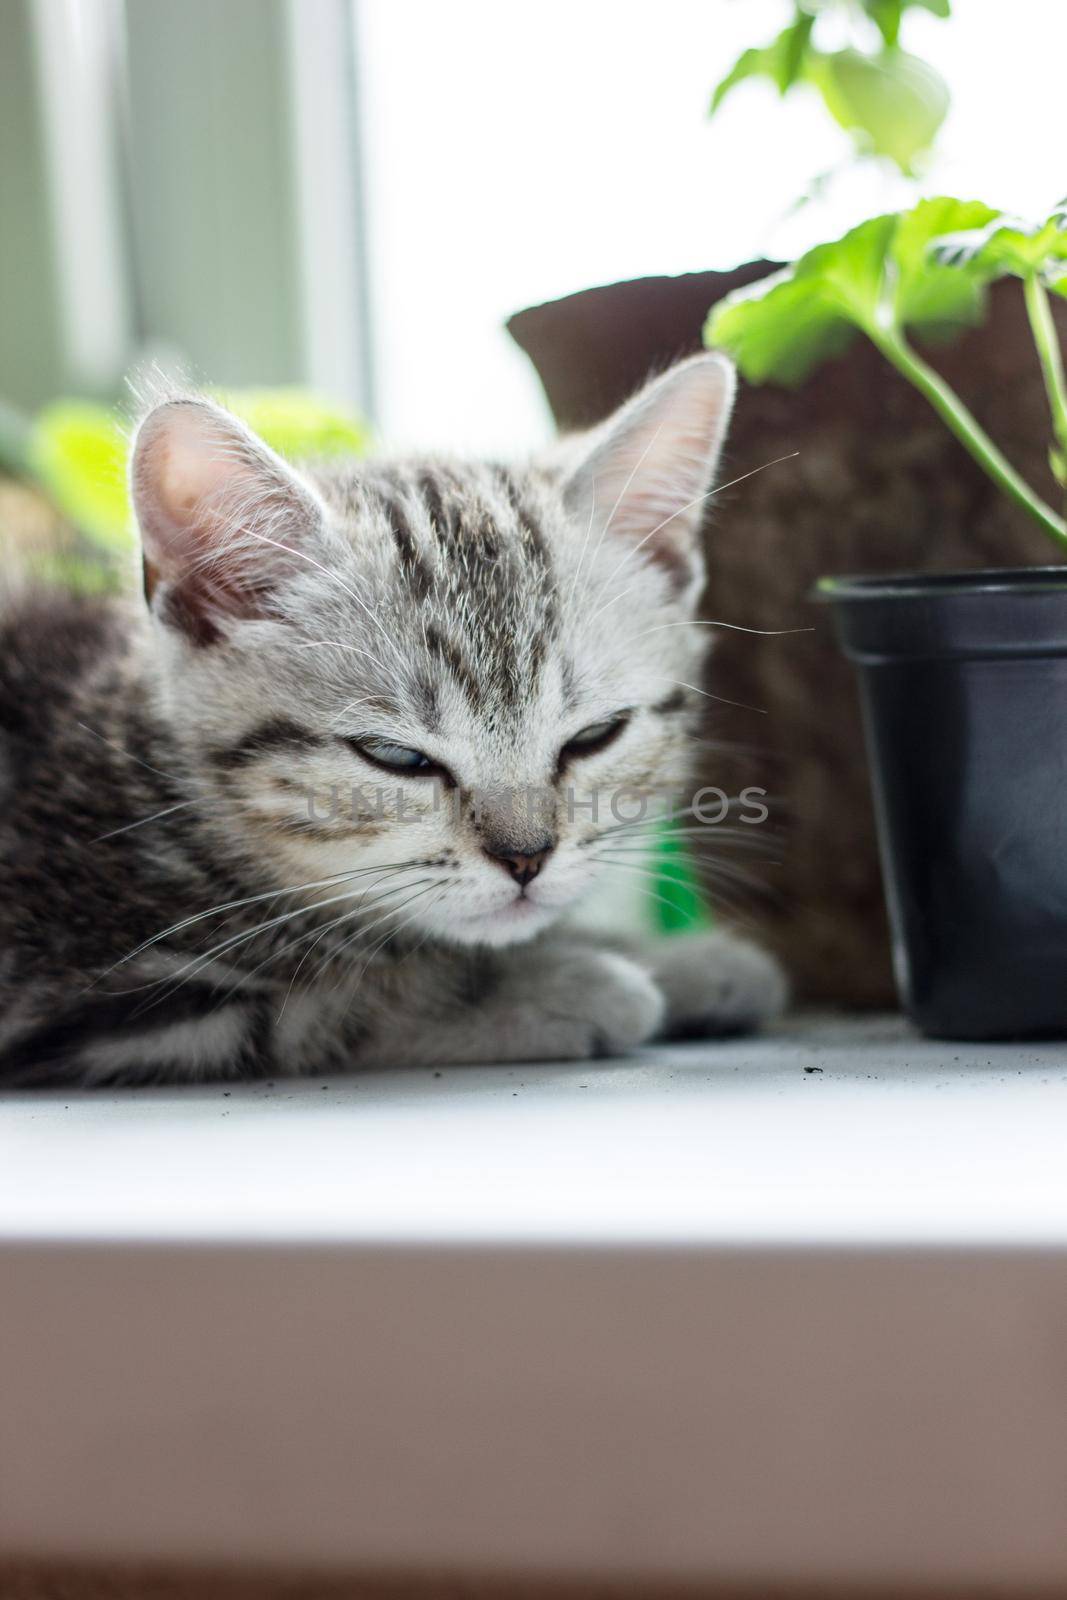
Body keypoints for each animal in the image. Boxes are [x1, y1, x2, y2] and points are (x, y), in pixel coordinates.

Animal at [0, 356, 783, 1088]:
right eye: (395, 757)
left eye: (596, 736)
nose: (527, 859)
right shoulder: (92, 1003)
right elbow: (336, 1003)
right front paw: (560, 983)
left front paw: (680, 960)